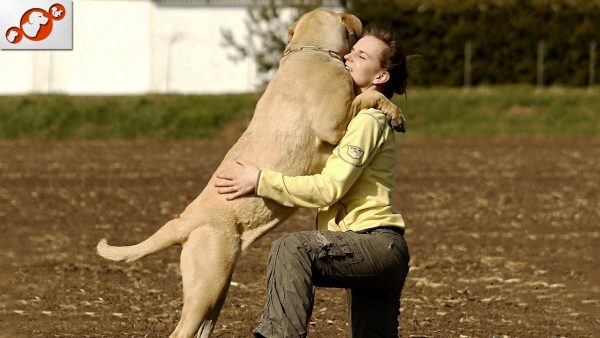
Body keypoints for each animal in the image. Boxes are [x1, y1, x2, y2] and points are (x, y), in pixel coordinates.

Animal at [97, 8, 404, 338]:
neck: (310, 51)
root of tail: (183, 221)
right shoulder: (334, 125)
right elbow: (368, 98)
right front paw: (395, 114)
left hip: (217, 287)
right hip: (206, 286)